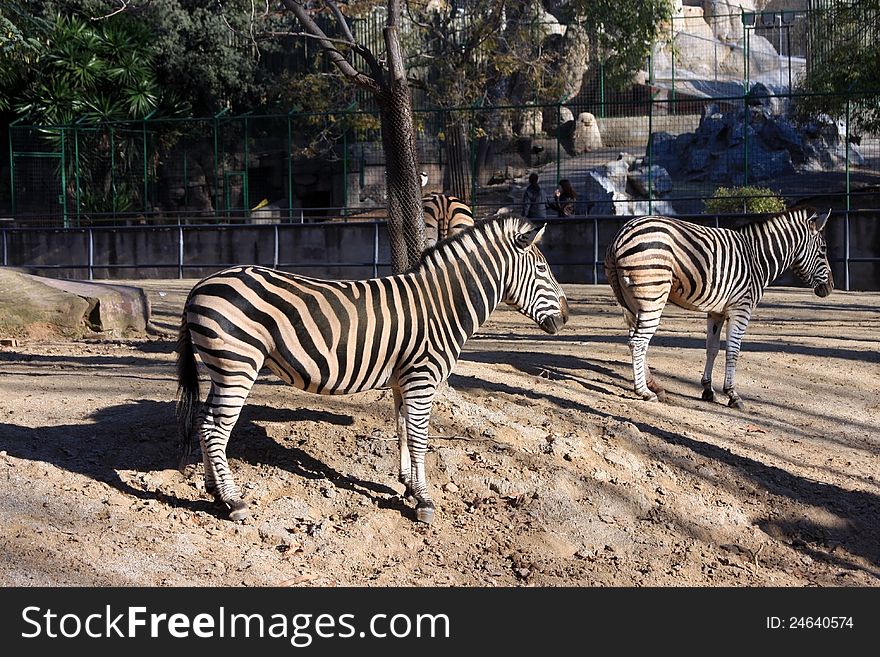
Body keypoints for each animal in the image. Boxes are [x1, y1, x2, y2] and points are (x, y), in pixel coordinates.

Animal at [177, 215, 572, 524]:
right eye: (542, 269)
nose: (567, 318)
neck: (442, 306)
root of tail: (200, 285)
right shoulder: (422, 377)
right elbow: (419, 437)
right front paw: (424, 501)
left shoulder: (403, 379)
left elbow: (402, 430)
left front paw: (408, 485)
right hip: (238, 365)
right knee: (215, 428)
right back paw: (233, 501)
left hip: (223, 368)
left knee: (204, 420)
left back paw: (214, 489)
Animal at [604, 206, 832, 410]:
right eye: (823, 250)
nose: (830, 288)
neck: (756, 258)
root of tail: (620, 236)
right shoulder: (741, 309)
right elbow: (733, 351)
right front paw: (732, 394)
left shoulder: (716, 312)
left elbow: (711, 348)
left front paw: (708, 390)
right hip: (652, 296)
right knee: (638, 342)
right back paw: (644, 392)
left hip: (632, 300)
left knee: (635, 339)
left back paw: (654, 386)